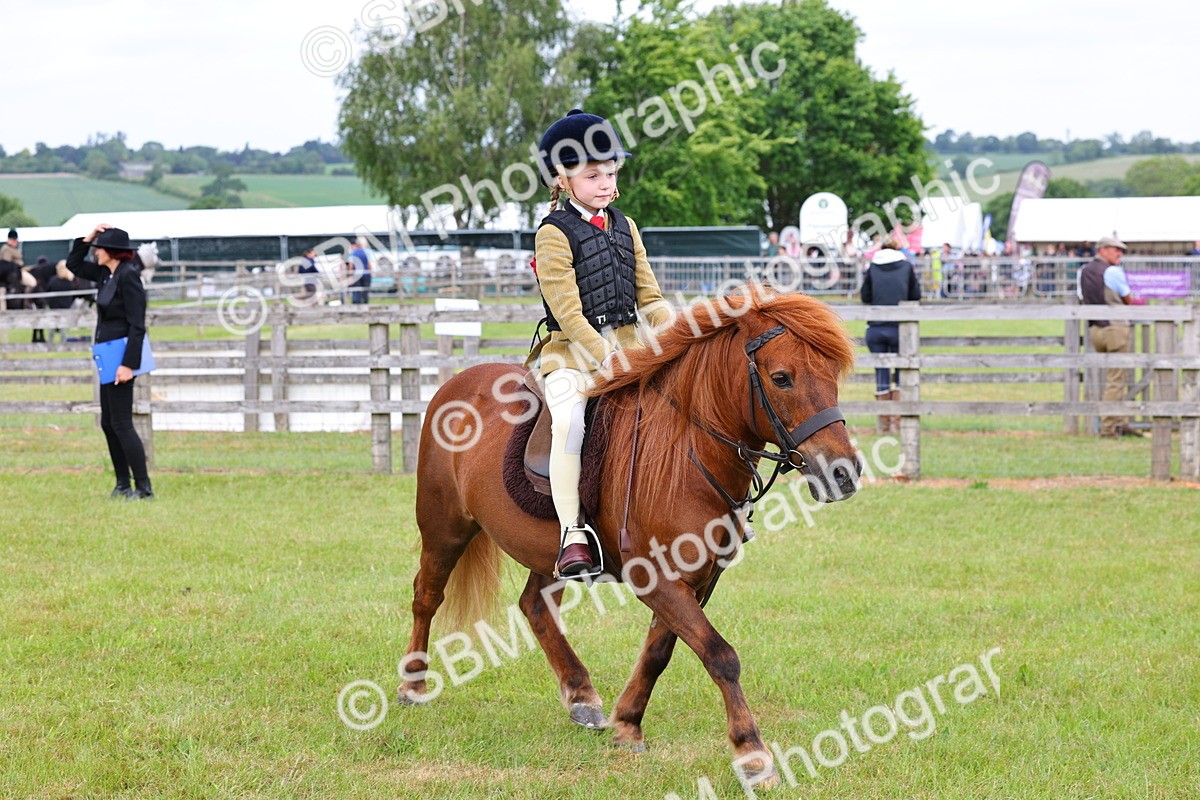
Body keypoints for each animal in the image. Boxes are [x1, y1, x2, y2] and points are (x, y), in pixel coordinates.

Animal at [400, 286, 861, 779]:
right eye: (781, 378)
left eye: (831, 375)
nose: (844, 473)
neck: (686, 450)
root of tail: (457, 383)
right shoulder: (656, 579)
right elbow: (720, 655)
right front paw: (751, 752)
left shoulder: (694, 581)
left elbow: (660, 652)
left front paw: (627, 725)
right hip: (445, 526)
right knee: (427, 595)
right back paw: (412, 684)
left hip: (549, 550)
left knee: (535, 606)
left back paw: (581, 697)